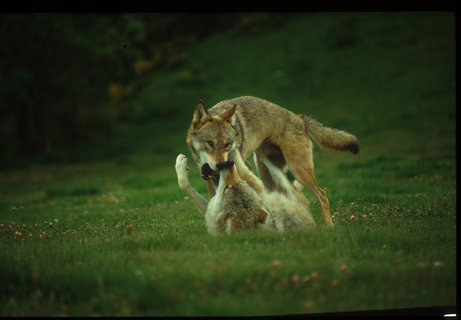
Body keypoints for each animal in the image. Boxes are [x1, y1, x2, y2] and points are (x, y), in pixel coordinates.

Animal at [185, 95, 358, 228]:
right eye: (210, 143)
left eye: (227, 144)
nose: (222, 164)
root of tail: (300, 118)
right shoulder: (210, 178)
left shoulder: (241, 168)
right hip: (267, 171)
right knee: (300, 198)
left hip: (298, 171)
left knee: (321, 194)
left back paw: (327, 226)